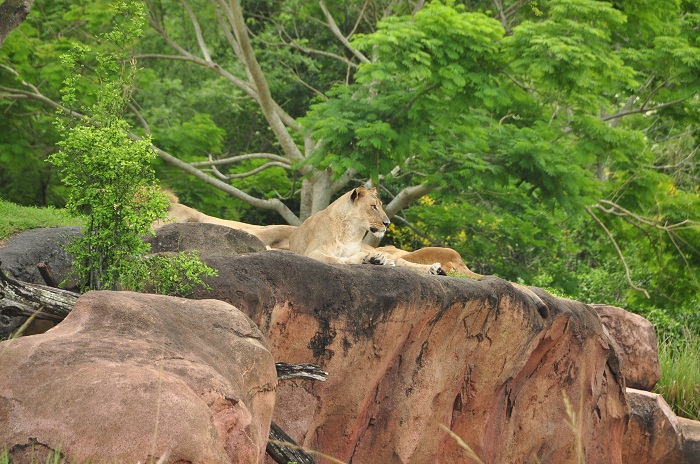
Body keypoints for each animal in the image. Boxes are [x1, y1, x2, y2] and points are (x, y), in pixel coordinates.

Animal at [288, 186, 445, 274]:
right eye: (374, 206)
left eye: (380, 205)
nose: (387, 223)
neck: (351, 231)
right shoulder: (312, 252)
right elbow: (337, 259)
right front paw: (369, 259)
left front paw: (372, 259)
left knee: (403, 262)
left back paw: (433, 268)